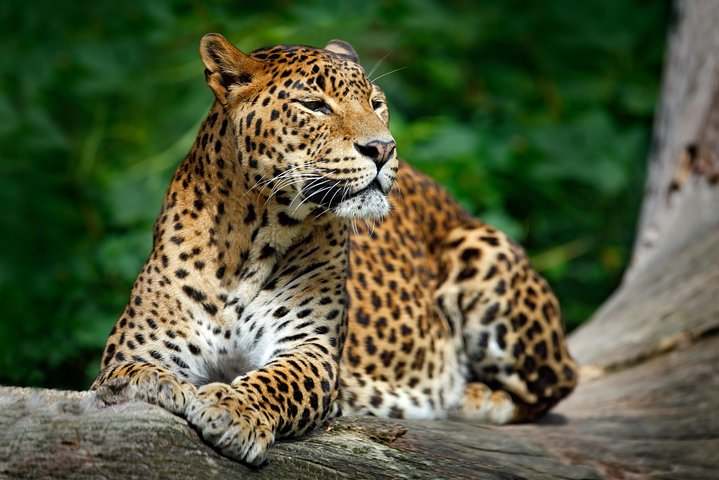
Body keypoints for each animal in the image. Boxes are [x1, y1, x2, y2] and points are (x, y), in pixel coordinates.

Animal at [94, 32, 580, 464]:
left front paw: (233, 410)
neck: (249, 240)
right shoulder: (136, 349)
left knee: (558, 382)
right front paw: (160, 386)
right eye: (314, 105)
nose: (383, 148)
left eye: (376, 103)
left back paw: (472, 396)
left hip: (483, 249)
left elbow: (276, 381)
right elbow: (129, 375)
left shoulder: (311, 349)